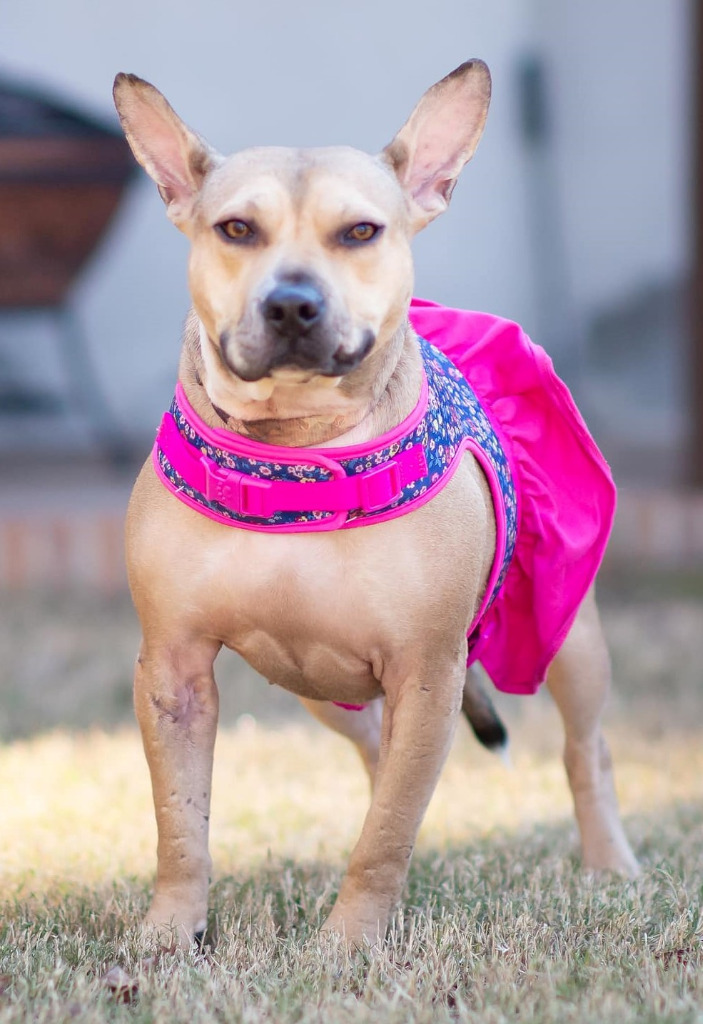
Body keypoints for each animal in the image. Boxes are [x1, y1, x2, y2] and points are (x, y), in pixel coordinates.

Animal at [111, 59, 638, 946]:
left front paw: (349, 944)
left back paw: (610, 863)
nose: (292, 303)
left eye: (359, 233)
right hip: (322, 687)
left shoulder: (427, 671)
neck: (294, 453)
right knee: (373, 752)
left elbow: (386, 831)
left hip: (569, 639)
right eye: (236, 230)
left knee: (583, 751)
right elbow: (181, 822)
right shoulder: (174, 671)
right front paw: (170, 931)